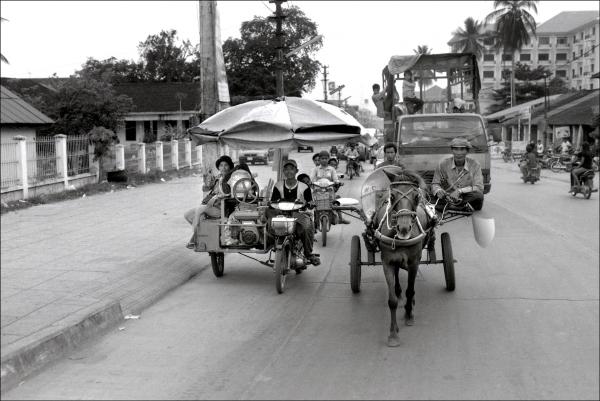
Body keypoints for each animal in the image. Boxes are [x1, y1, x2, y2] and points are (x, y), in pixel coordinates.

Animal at [372, 167, 428, 346]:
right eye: (392, 197)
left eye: (416, 196)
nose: (404, 228)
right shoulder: (387, 262)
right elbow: (392, 301)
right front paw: (393, 334)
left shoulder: (414, 262)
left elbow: (410, 290)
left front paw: (409, 315)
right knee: (397, 274)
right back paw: (398, 291)